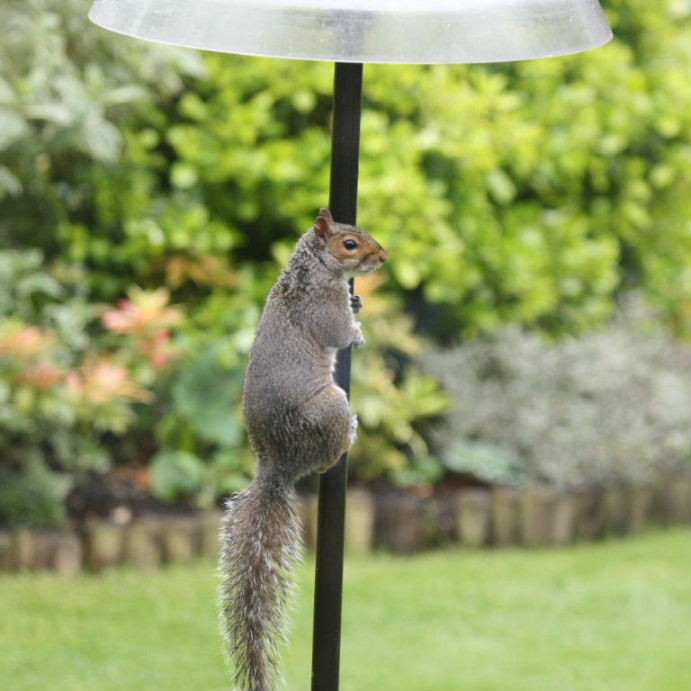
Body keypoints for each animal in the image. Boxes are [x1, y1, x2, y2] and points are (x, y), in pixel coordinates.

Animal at [219, 208, 388, 691]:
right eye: (350, 244)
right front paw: (358, 329)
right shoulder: (322, 307)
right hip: (329, 409)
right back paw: (349, 436)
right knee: (328, 455)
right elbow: (341, 333)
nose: (384, 257)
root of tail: (276, 465)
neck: (307, 271)